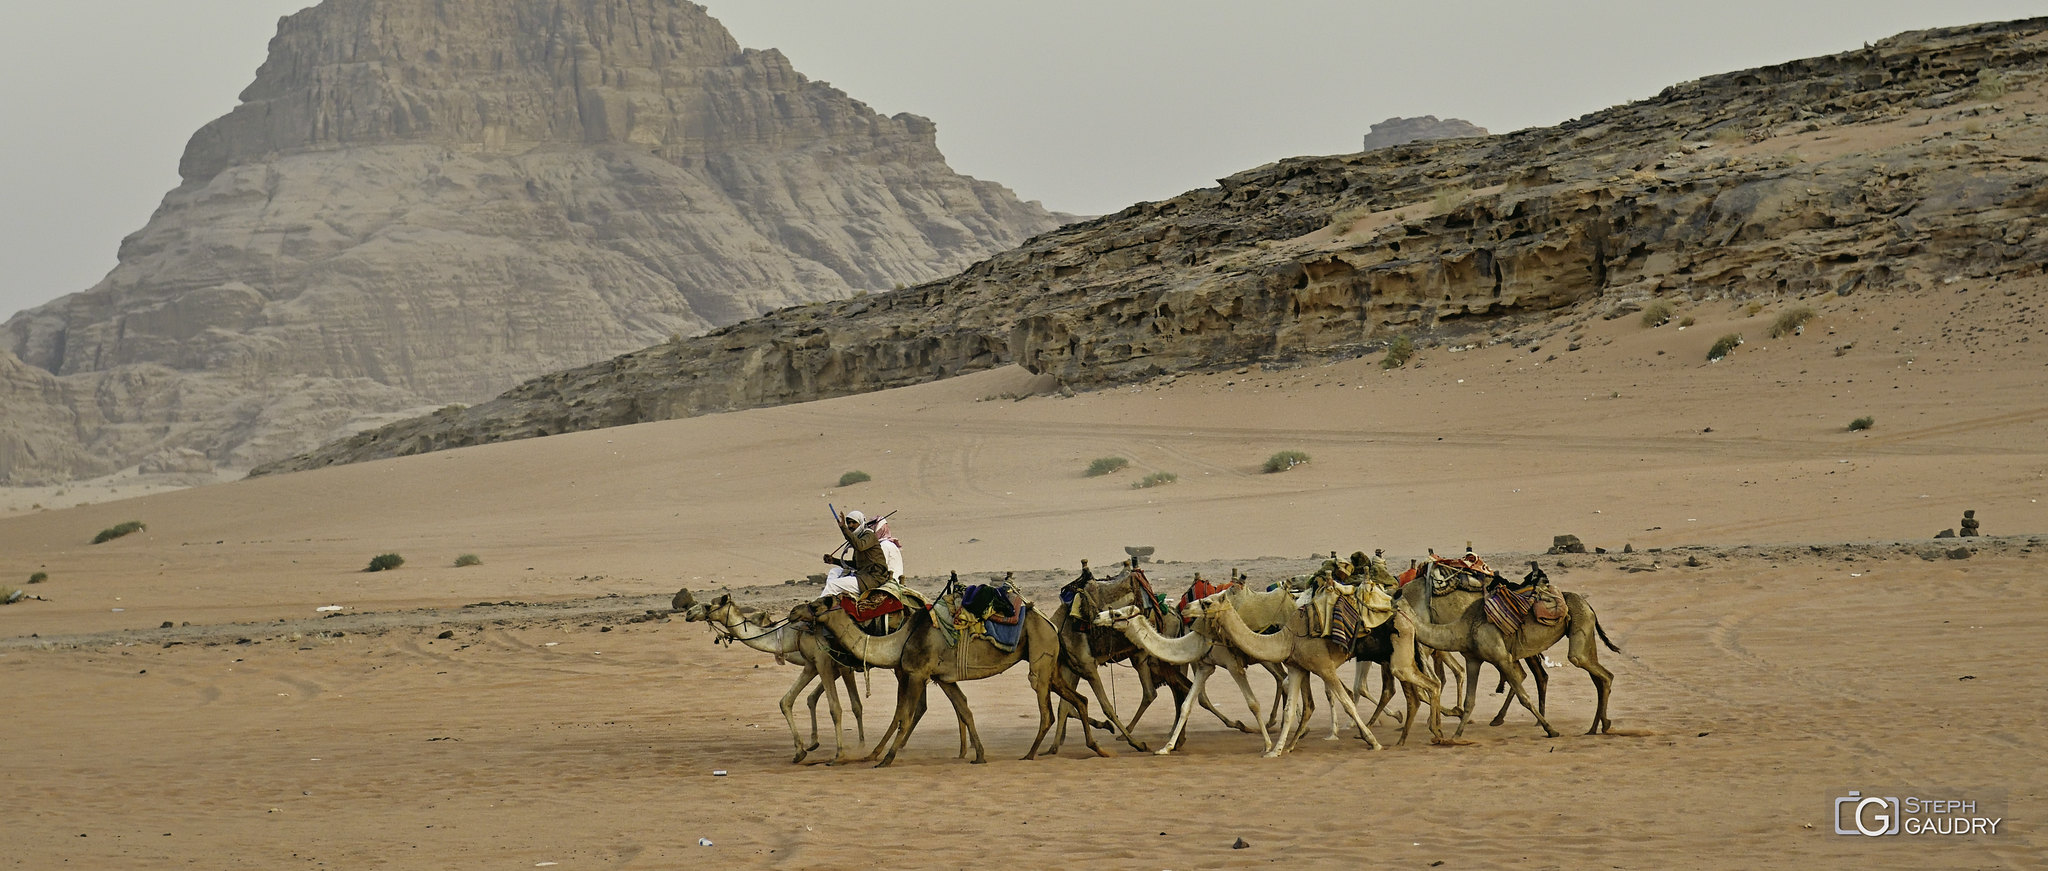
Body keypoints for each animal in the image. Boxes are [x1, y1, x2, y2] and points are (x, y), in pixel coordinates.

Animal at [794, 590, 1114, 766]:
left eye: (820, 603)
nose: (796, 610)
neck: (901, 638)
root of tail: (1051, 623)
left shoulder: (917, 673)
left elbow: (905, 717)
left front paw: (885, 759)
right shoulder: (944, 678)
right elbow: (965, 710)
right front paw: (979, 754)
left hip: (1040, 656)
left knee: (1047, 709)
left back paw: (1030, 754)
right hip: (1051, 662)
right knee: (1080, 699)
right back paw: (1097, 747)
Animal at [1392, 573, 1613, 737]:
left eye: (1393, 605)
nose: (1386, 614)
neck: (1463, 628)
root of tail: (1588, 605)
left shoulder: (1501, 657)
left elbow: (1524, 696)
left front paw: (1551, 730)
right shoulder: (1473, 659)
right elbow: (1470, 701)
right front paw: (1455, 736)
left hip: (1580, 626)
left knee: (1594, 670)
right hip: (1584, 631)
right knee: (1599, 676)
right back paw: (1599, 726)